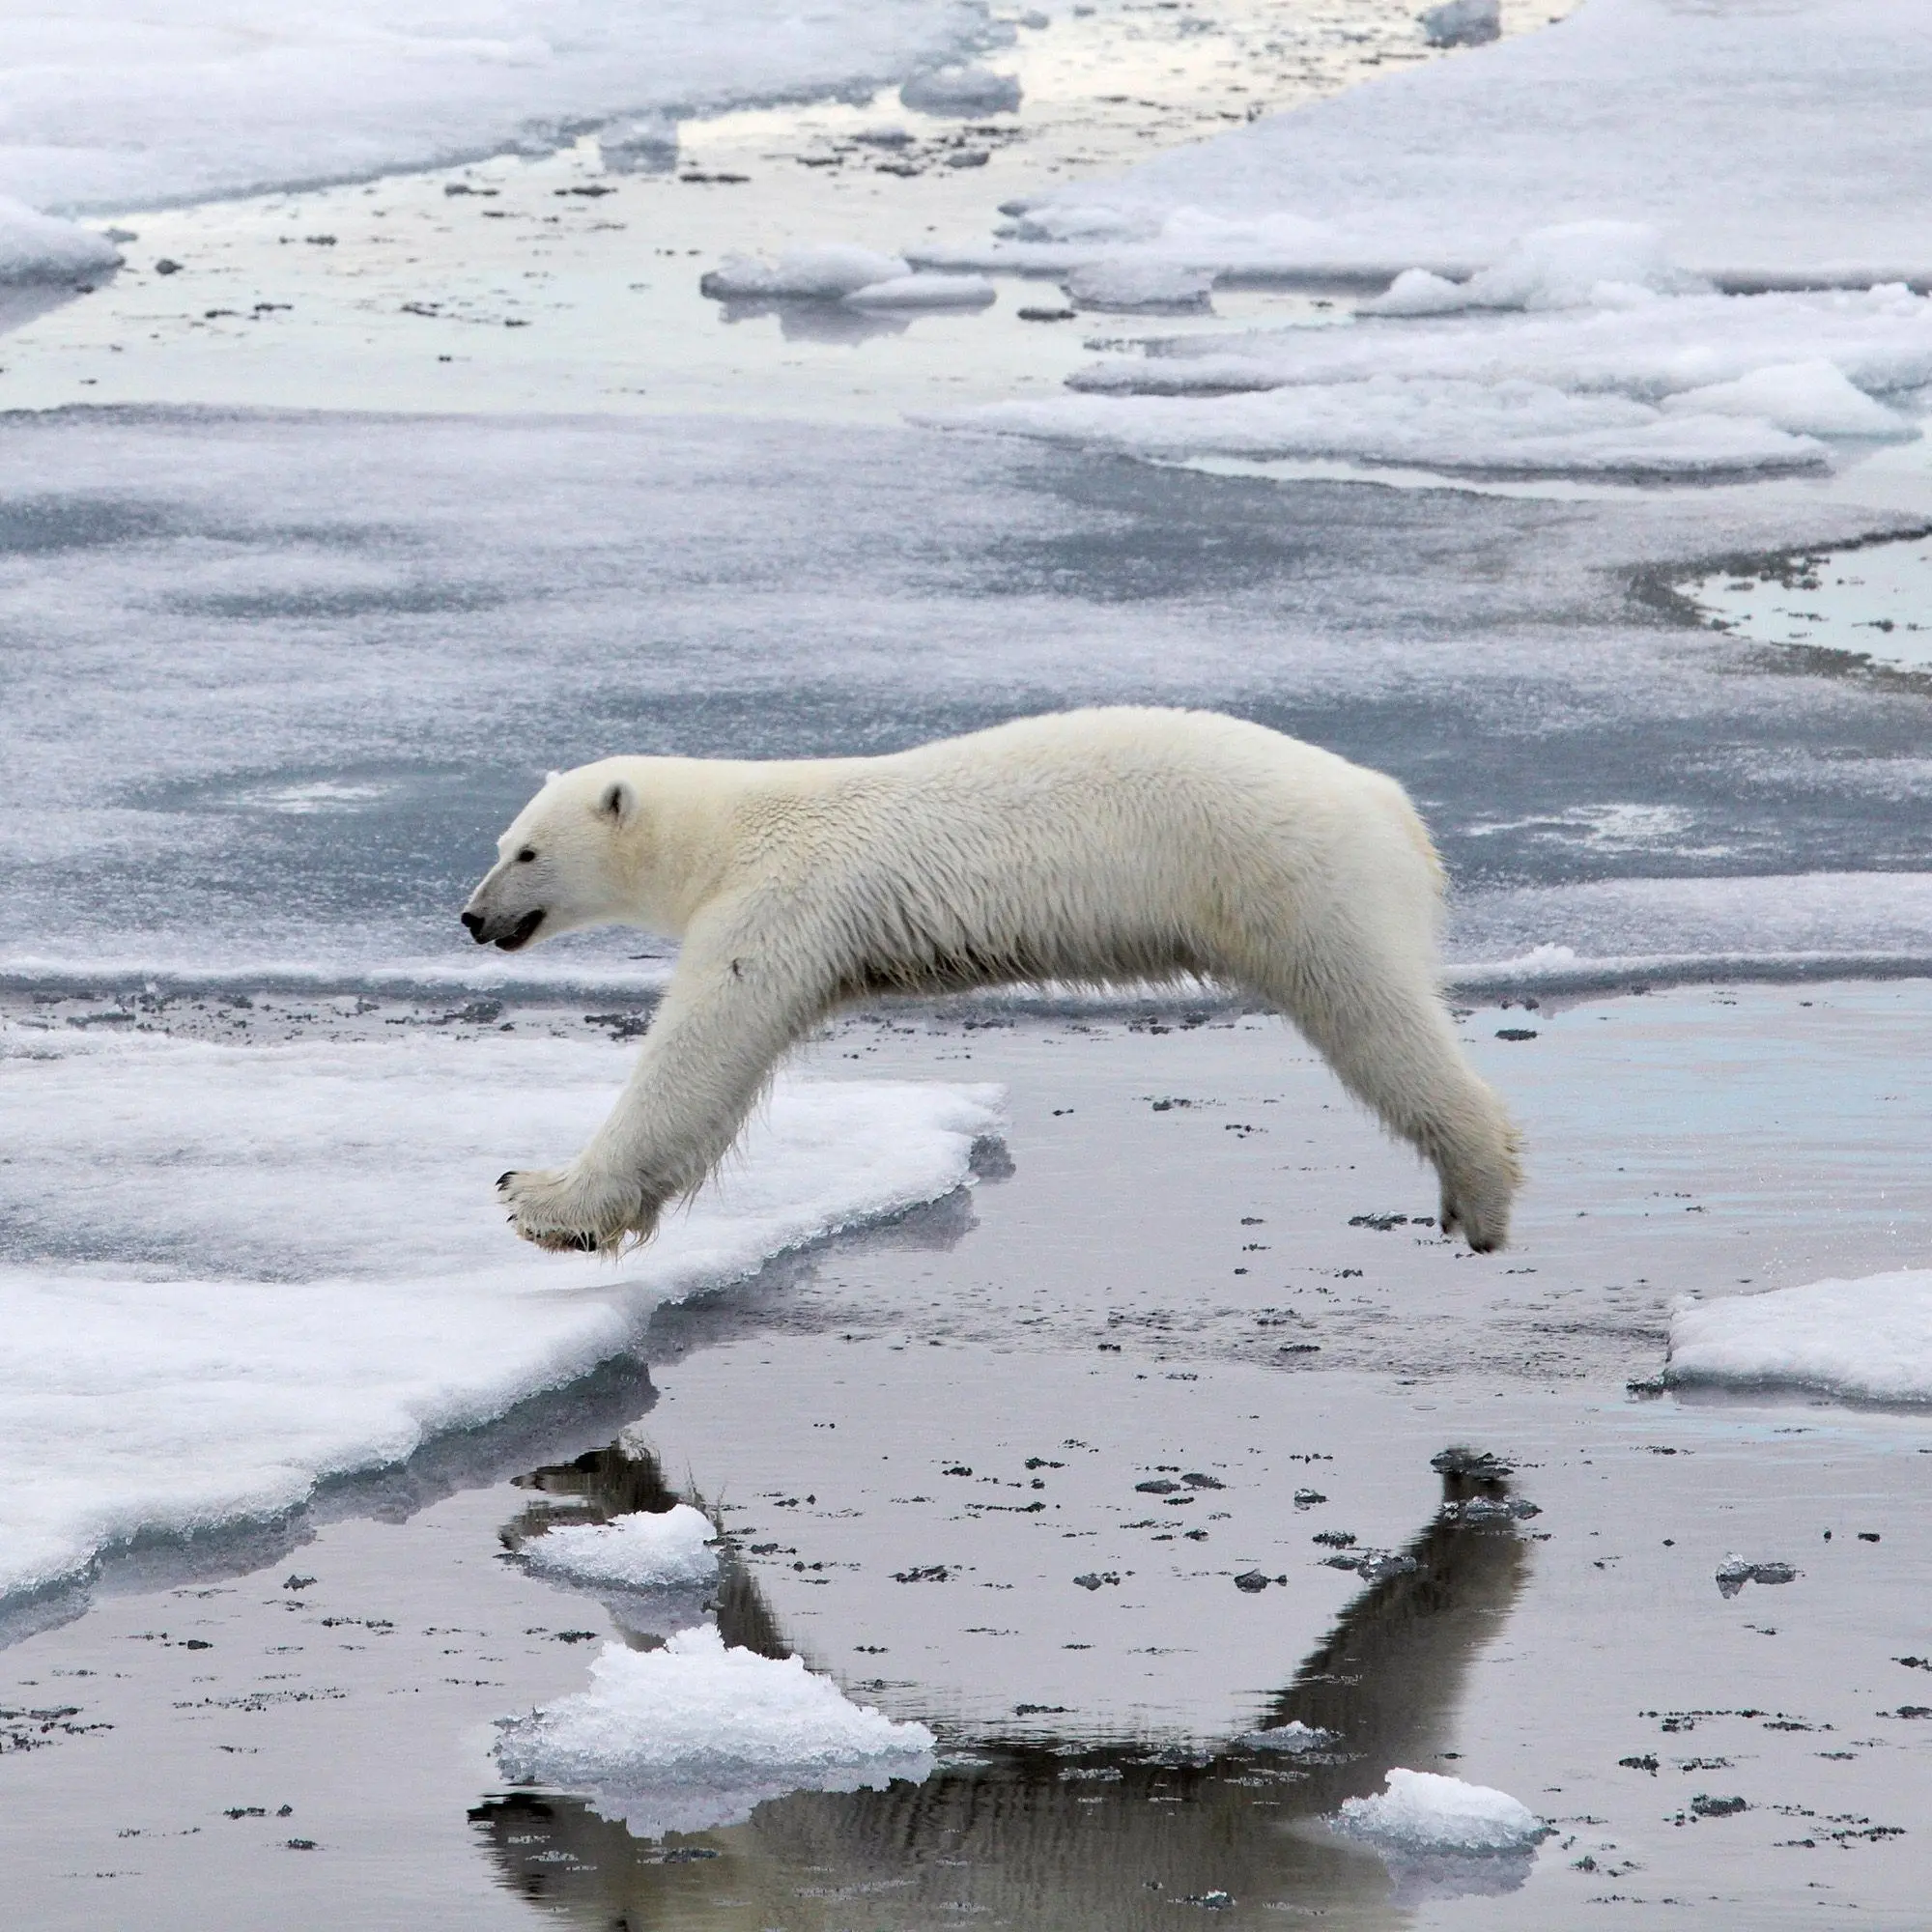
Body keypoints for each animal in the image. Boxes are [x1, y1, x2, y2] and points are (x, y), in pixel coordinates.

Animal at [460, 707, 1521, 1255]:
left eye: (525, 850)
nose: (472, 916)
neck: (732, 826)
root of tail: (1393, 807)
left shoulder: (782, 897)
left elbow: (703, 1045)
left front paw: (539, 1194)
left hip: (1298, 884)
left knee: (1375, 1016)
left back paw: (1479, 1192)